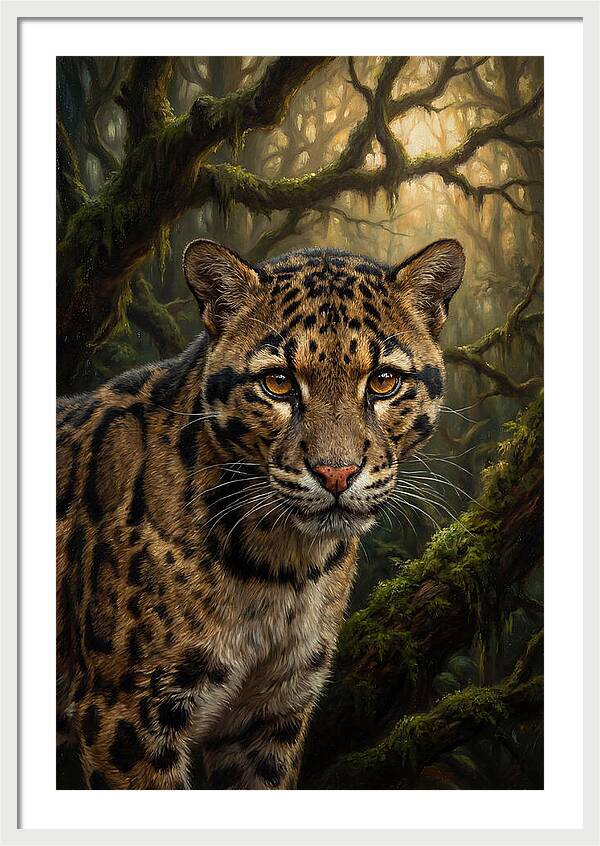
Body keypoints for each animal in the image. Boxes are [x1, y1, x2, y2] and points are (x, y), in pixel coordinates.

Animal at [56, 237, 465, 789]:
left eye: (383, 382)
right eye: (278, 383)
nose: (336, 473)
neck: (282, 566)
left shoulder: (272, 714)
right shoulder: (127, 713)